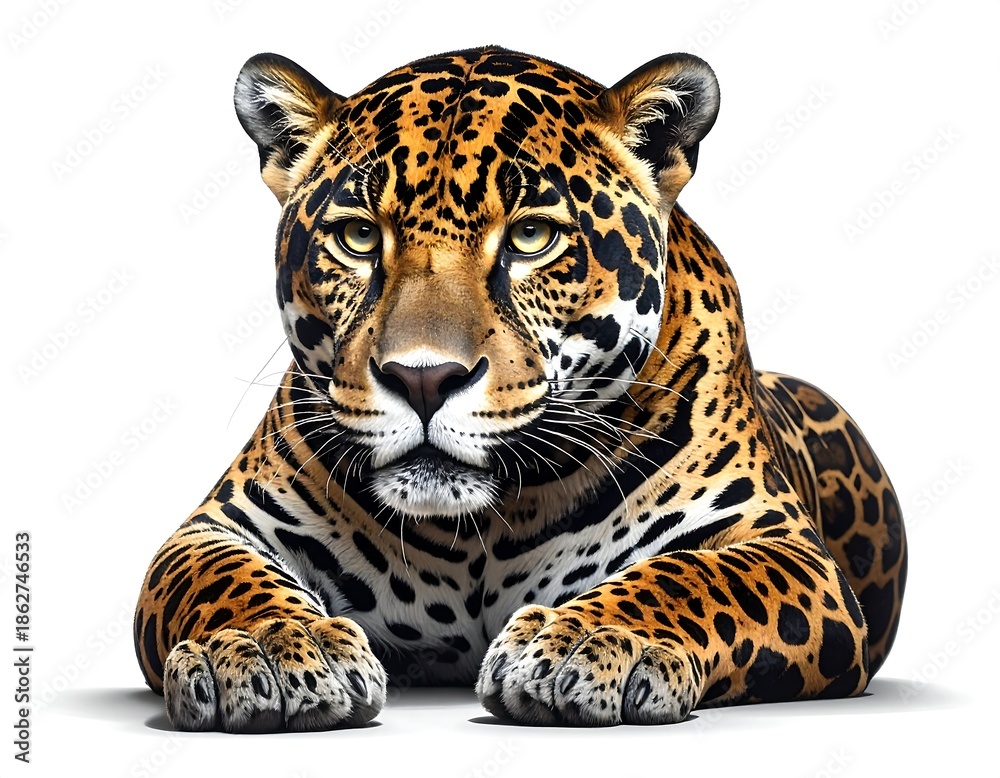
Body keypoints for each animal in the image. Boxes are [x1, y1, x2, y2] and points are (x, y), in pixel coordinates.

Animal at [133, 46, 907, 731]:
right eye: (357, 238)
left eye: (532, 237)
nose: (423, 378)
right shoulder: (220, 525)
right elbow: (223, 581)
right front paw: (266, 649)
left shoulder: (786, 548)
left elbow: (694, 580)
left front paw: (586, 644)